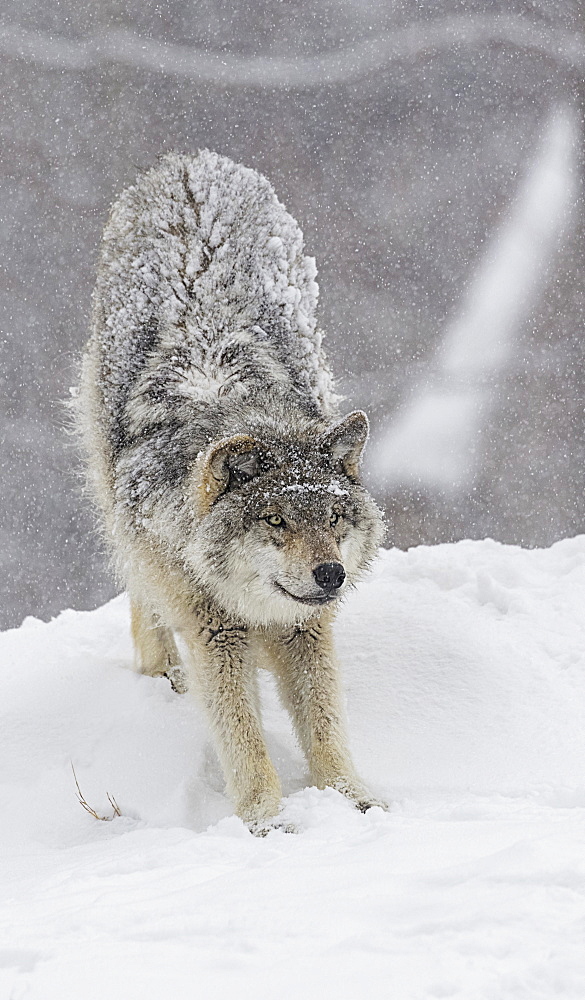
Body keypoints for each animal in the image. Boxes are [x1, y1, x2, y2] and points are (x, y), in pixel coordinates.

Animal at [76, 148, 388, 832]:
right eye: (275, 521)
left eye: (333, 518)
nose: (331, 574)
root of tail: (188, 161)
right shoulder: (214, 633)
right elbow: (241, 734)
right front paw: (266, 819)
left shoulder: (306, 628)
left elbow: (325, 723)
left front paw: (352, 798)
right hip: (113, 496)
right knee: (141, 595)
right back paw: (160, 674)